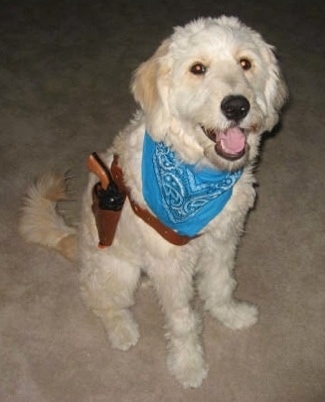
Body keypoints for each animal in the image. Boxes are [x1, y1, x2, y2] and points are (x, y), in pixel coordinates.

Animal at [19, 17, 286, 388]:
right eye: (198, 68)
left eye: (245, 63)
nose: (237, 106)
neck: (198, 175)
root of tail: (77, 243)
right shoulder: (171, 266)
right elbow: (183, 321)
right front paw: (188, 364)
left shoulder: (223, 241)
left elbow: (220, 285)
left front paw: (230, 314)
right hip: (117, 271)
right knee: (96, 297)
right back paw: (122, 329)